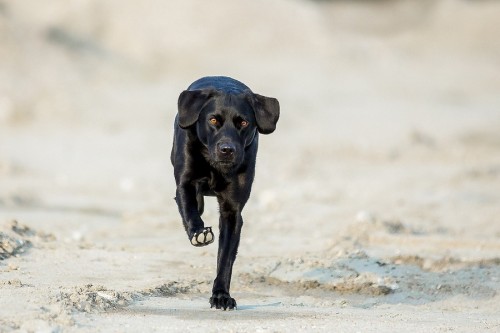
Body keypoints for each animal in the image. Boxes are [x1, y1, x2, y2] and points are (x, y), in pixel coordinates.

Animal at [171, 76, 282, 308]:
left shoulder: (232, 211)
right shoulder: (184, 183)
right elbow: (189, 208)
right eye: (213, 120)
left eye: (244, 123)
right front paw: (199, 233)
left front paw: (221, 295)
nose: (227, 150)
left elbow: (225, 258)